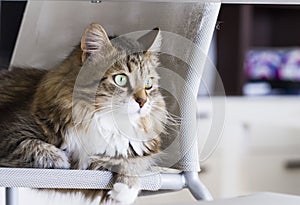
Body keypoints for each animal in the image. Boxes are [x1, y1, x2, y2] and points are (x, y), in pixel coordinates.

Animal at [0, 23, 168, 204]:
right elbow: (34, 145)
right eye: (121, 79)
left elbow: (136, 161)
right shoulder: (12, 131)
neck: (99, 120)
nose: (143, 101)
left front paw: (126, 189)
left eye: (148, 84)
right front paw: (62, 160)